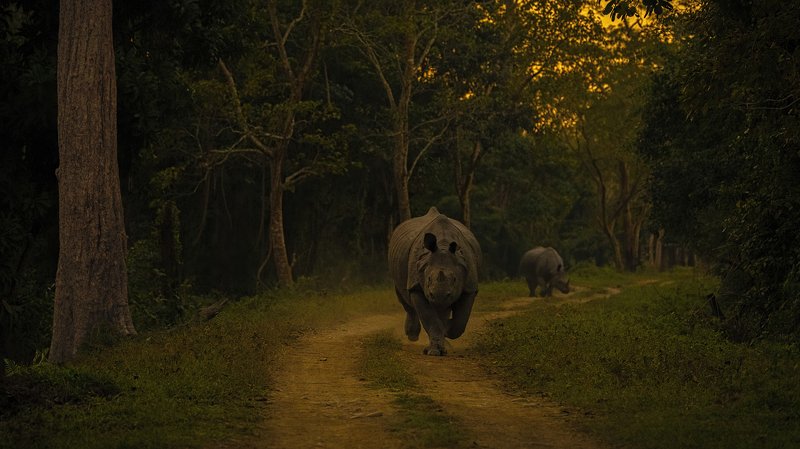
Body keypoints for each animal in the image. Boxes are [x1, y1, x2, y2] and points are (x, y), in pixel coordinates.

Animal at [388, 207, 481, 356]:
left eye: (455, 279)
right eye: (429, 279)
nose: (439, 296)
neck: (443, 245)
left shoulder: (470, 287)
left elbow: (460, 322)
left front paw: (447, 328)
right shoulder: (416, 286)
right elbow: (430, 318)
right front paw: (434, 352)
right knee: (404, 298)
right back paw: (413, 336)